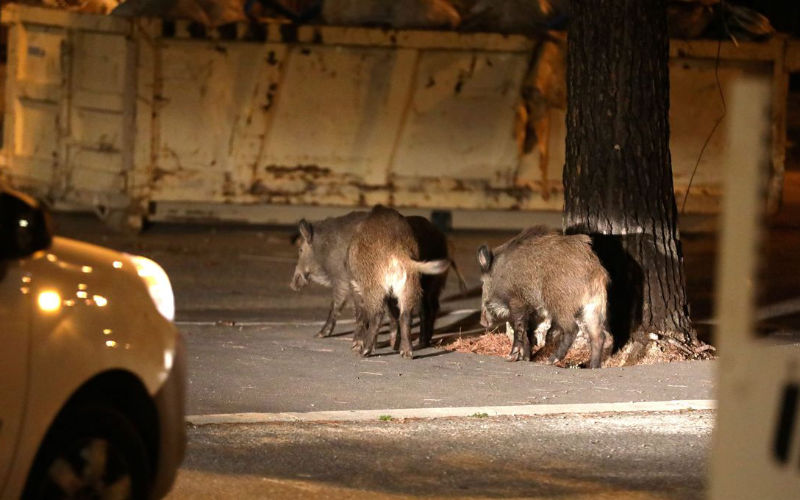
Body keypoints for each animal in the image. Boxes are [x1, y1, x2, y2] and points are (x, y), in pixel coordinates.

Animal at [348, 206, 450, 359]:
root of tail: (397, 250)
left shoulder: (357, 287)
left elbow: (361, 315)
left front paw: (357, 345)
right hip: (410, 286)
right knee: (409, 315)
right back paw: (408, 351)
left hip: (376, 287)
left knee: (378, 315)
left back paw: (365, 351)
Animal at [477, 227, 610, 368]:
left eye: (482, 283)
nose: (482, 322)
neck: (499, 274)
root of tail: (595, 271)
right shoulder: (534, 313)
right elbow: (528, 333)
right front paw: (526, 358)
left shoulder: (517, 302)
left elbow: (519, 328)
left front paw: (511, 357)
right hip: (593, 306)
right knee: (598, 336)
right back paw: (593, 367)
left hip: (559, 303)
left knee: (572, 329)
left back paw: (551, 361)